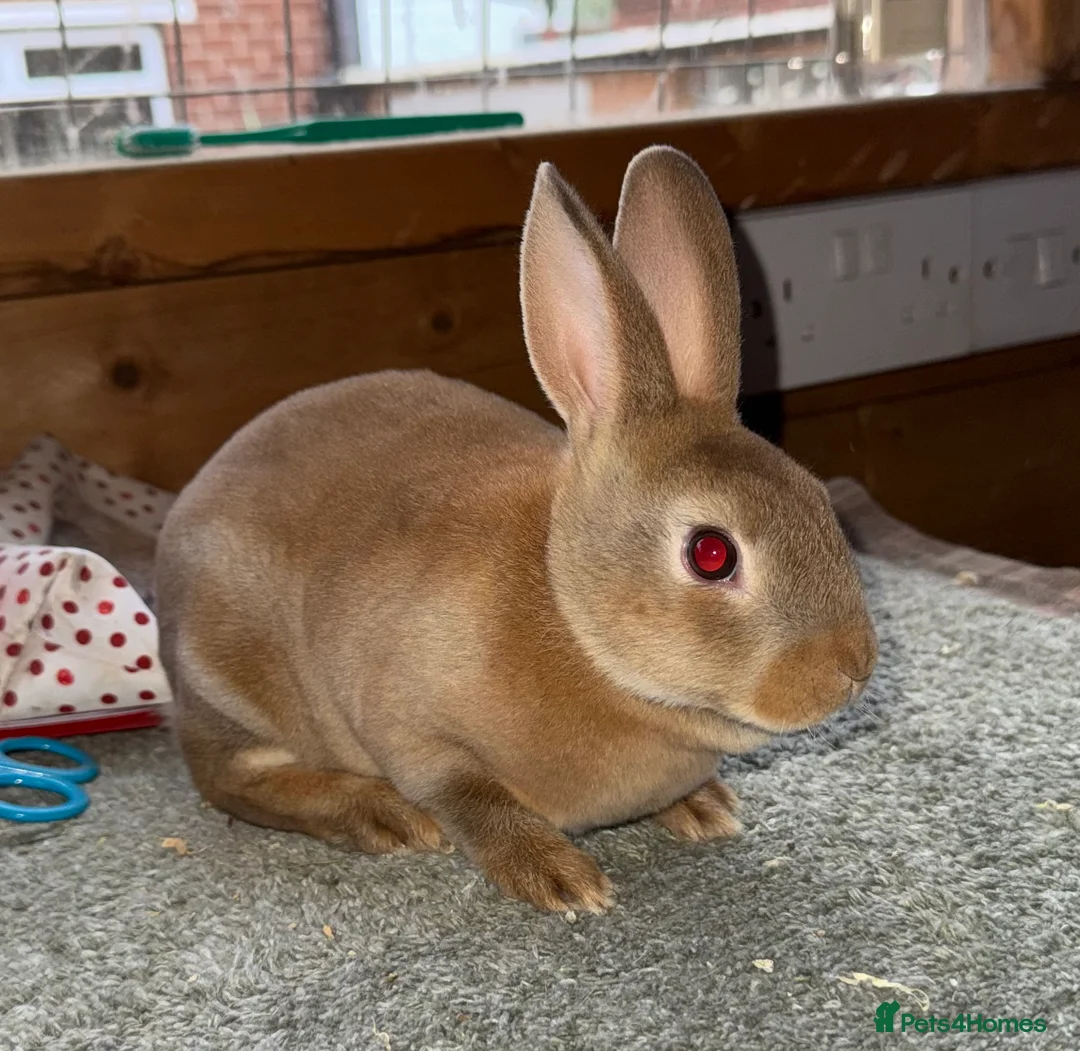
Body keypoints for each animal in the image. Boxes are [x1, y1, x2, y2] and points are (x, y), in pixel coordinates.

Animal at [154, 145, 878, 914]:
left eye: (818, 500)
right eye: (711, 554)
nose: (853, 667)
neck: (571, 618)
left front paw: (702, 806)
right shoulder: (409, 726)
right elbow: (467, 797)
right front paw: (558, 877)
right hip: (233, 673)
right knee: (228, 779)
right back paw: (379, 815)